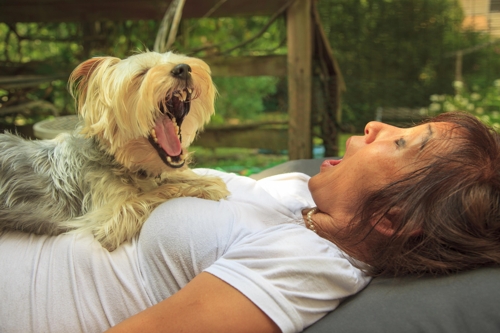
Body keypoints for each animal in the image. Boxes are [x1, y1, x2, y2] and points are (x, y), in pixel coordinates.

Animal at [0, 51, 229, 249]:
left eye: (179, 60)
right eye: (142, 73)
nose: (183, 69)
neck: (118, 160)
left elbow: (167, 179)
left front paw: (202, 180)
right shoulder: (109, 221)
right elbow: (161, 192)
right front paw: (206, 187)